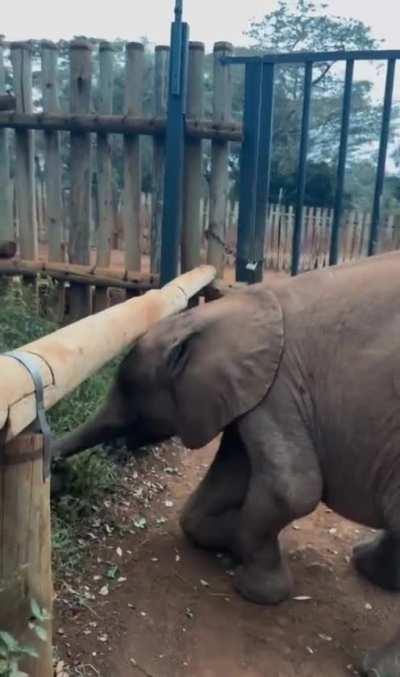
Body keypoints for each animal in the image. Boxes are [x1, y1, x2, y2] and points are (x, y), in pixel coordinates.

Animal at [55, 250, 400, 676]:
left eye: (131, 402)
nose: (56, 471)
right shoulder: (253, 393)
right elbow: (232, 474)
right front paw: (231, 541)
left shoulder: (279, 389)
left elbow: (291, 489)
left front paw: (254, 588)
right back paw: (368, 566)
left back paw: (375, 666)